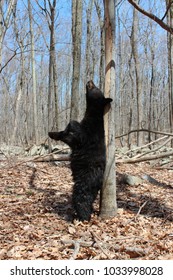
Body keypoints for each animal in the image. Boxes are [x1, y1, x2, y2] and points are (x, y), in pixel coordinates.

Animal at [48, 81, 112, 221]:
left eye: (96, 87)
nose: (90, 81)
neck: (93, 117)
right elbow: (64, 133)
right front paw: (51, 133)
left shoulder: (85, 136)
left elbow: (74, 129)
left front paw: (69, 124)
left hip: (84, 184)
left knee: (81, 200)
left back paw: (81, 217)